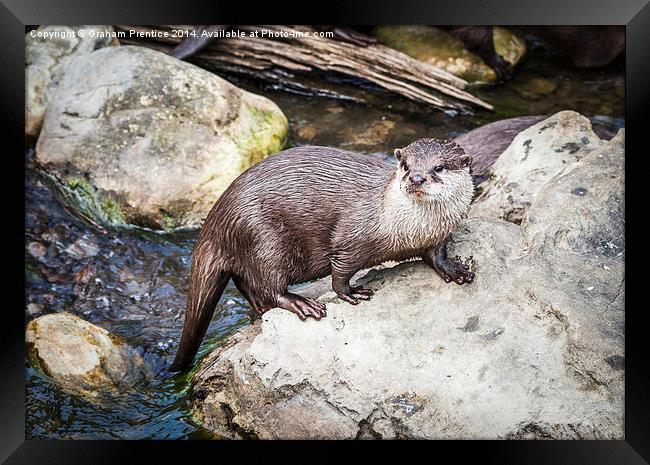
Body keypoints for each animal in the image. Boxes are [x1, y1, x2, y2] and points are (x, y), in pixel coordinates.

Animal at [171, 138, 476, 370]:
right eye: (405, 165)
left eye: (439, 167)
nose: (416, 177)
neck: (411, 229)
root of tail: (217, 219)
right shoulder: (352, 236)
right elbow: (340, 269)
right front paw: (350, 292)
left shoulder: (438, 235)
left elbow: (435, 255)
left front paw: (454, 269)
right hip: (263, 239)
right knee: (268, 284)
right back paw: (301, 303)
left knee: (244, 280)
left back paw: (260, 308)